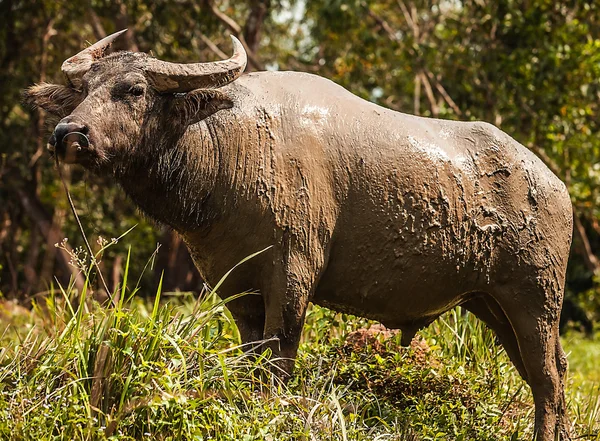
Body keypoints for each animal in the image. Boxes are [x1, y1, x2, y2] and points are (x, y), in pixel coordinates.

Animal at [27, 30, 572, 436]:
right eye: (83, 91)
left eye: (134, 90)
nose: (68, 134)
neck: (230, 150)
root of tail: (554, 184)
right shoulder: (234, 286)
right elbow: (251, 359)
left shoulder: (292, 271)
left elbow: (281, 356)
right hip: (491, 303)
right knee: (551, 371)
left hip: (535, 298)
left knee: (546, 378)